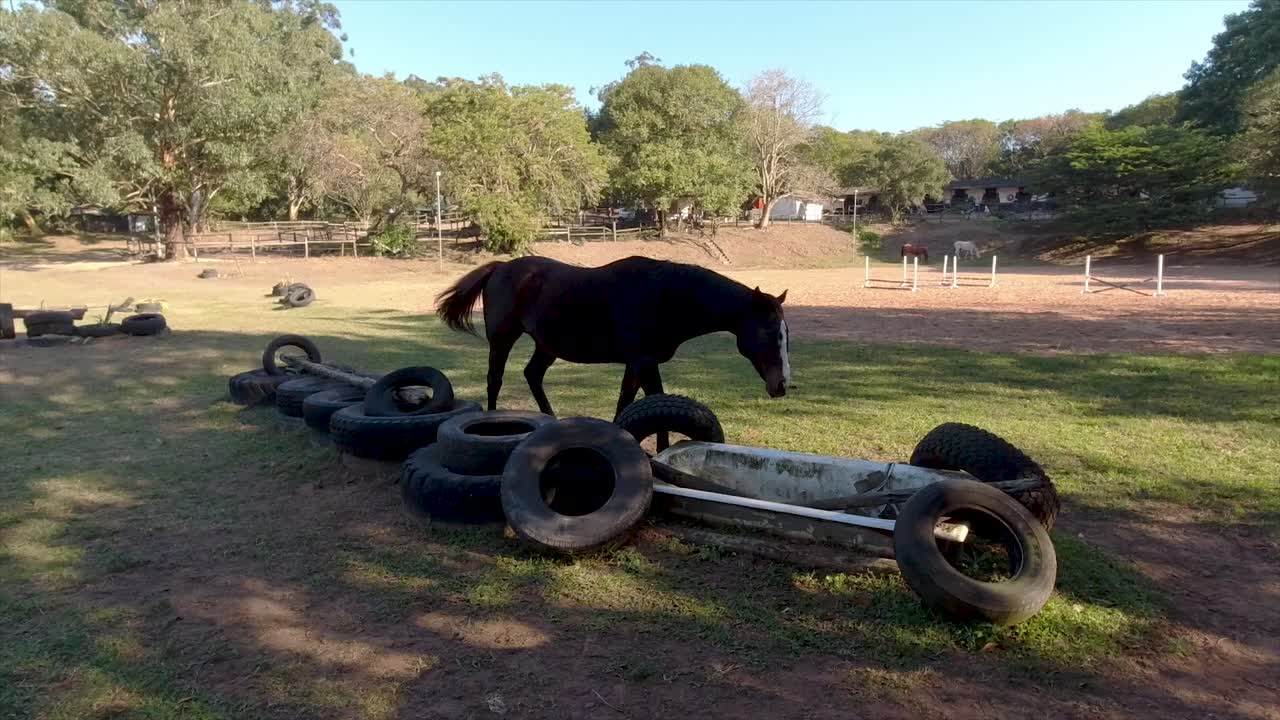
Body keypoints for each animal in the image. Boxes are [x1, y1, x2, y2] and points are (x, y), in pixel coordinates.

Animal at [435, 255, 791, 420]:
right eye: (769, 331)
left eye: (785, 333)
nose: (782, 384)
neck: (665, 296)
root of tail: (500, 267)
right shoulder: (644, 363)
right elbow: (655, 405)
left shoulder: (635, 365)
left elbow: (625, 404)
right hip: (502, 340)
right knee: (494, 380)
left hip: (546, 346)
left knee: (532, 374)